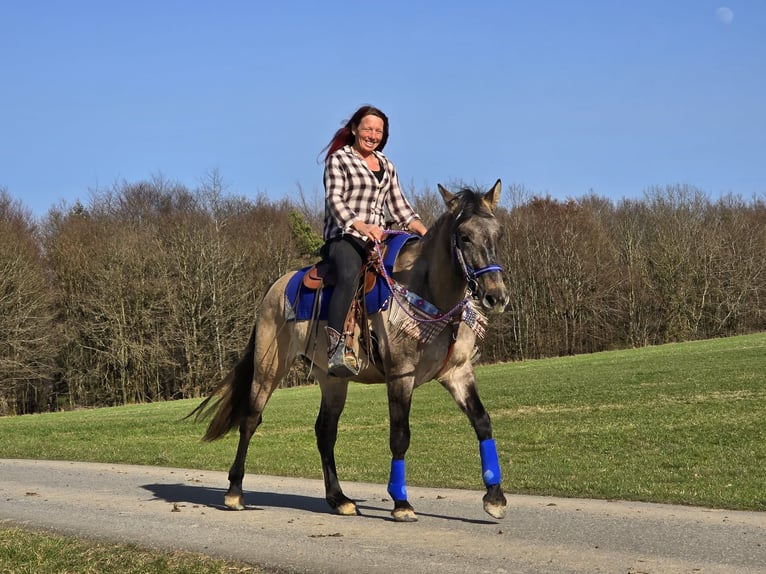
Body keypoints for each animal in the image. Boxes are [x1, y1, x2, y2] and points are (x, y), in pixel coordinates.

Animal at [190, 180, 510, 522]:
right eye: (464, 236)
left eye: (498, 234)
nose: (496, 296)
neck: (426, 293)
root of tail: (274, 288)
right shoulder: (401, 375)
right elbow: (400, 436)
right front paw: (401, 502)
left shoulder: (457, 372)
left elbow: (482, 422)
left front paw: (494, 497)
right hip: (268, 368)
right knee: (250, 419)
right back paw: (235, 492)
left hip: (332, 379)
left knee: (325, 432)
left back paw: (339, 499)